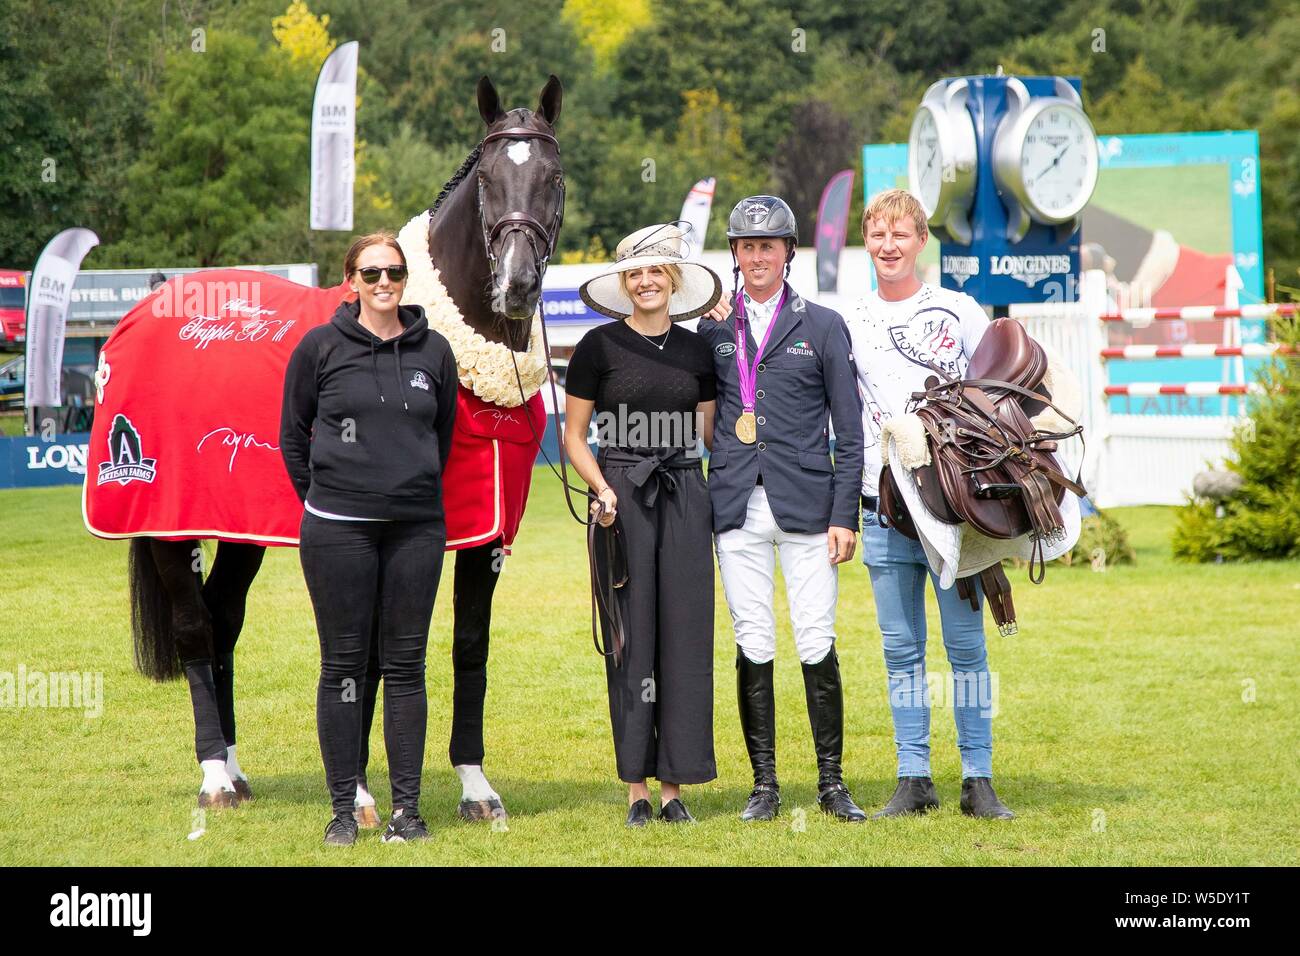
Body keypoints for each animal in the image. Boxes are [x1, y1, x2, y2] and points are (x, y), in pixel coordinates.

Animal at [125, 78, 564, 816]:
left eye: (553, 179)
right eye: (487, 181)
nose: (518, 284)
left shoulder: (487, 536)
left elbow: (468, 644)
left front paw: (475, 786)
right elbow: (371, 655)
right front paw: (358, 790)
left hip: (238, 528)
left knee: (224, 619)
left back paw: (236, 771)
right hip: (167, 522)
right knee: (193, 626)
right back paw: (214, 777)